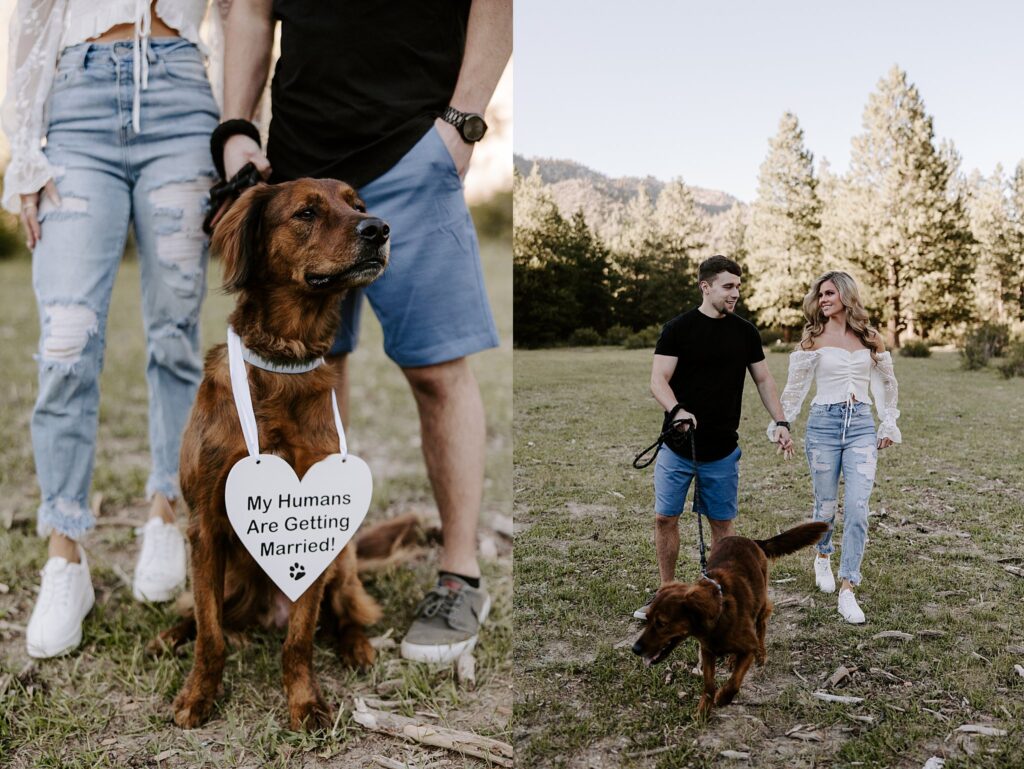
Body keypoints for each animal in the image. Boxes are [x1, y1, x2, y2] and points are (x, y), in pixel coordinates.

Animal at [155, 177, 391, 729]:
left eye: (358, 205)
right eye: (306, 212)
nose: (379, 228)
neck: (284, 363)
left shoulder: (318, 536)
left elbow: (299, 639)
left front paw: (305, 702)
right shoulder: (205, 525)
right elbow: (211, 633)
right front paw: (198, 695)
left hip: (343, 559)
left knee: (346, 615)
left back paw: (358, 647)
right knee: (201, 614)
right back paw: (170, 635)